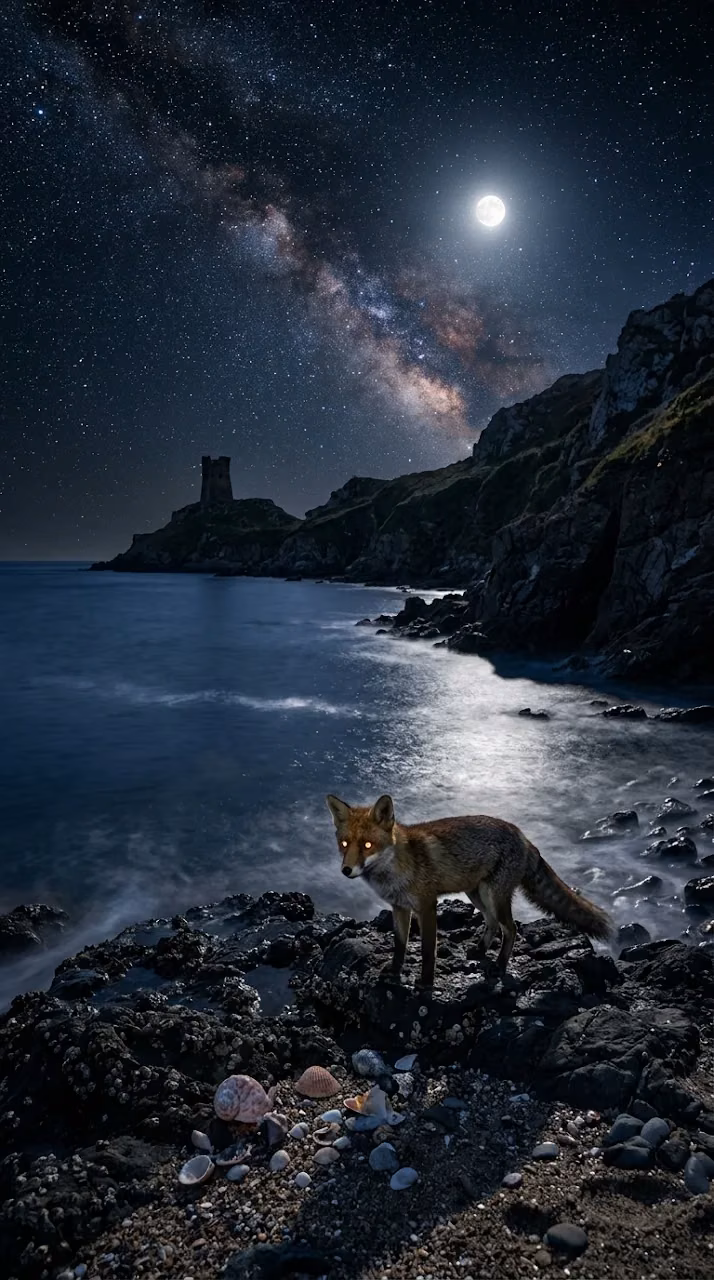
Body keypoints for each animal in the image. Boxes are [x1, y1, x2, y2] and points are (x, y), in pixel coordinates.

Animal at [326, 793, 611, 987]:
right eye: (344, 844)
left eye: (367, 845)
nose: (346, 870)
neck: (396, 869)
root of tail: (522, 835)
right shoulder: (399, 907)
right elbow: (400, 945)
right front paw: (395, 972)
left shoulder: (427, 906)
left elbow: (428, 951)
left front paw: (426, 984)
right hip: (477, 895)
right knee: (492, 923)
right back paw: (480, 950)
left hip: (494, 897)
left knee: (511, 929)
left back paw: (499, 966)